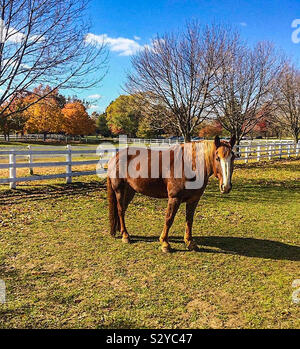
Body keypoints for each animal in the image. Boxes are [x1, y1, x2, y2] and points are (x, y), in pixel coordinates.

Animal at [106, 135, 236, 251]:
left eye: (233, 157)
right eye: (217, 158)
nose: (226, 186)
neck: (189, 166)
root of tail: (115, 158)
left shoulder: (193, 199)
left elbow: (189, 220)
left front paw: (190, 242)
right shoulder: (174, 198)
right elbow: (169, 219)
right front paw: (165, 243)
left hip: (130, 191)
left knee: (122, 210)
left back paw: (121, 231)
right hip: (119, 190)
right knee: (120, 210)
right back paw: (125, 236)